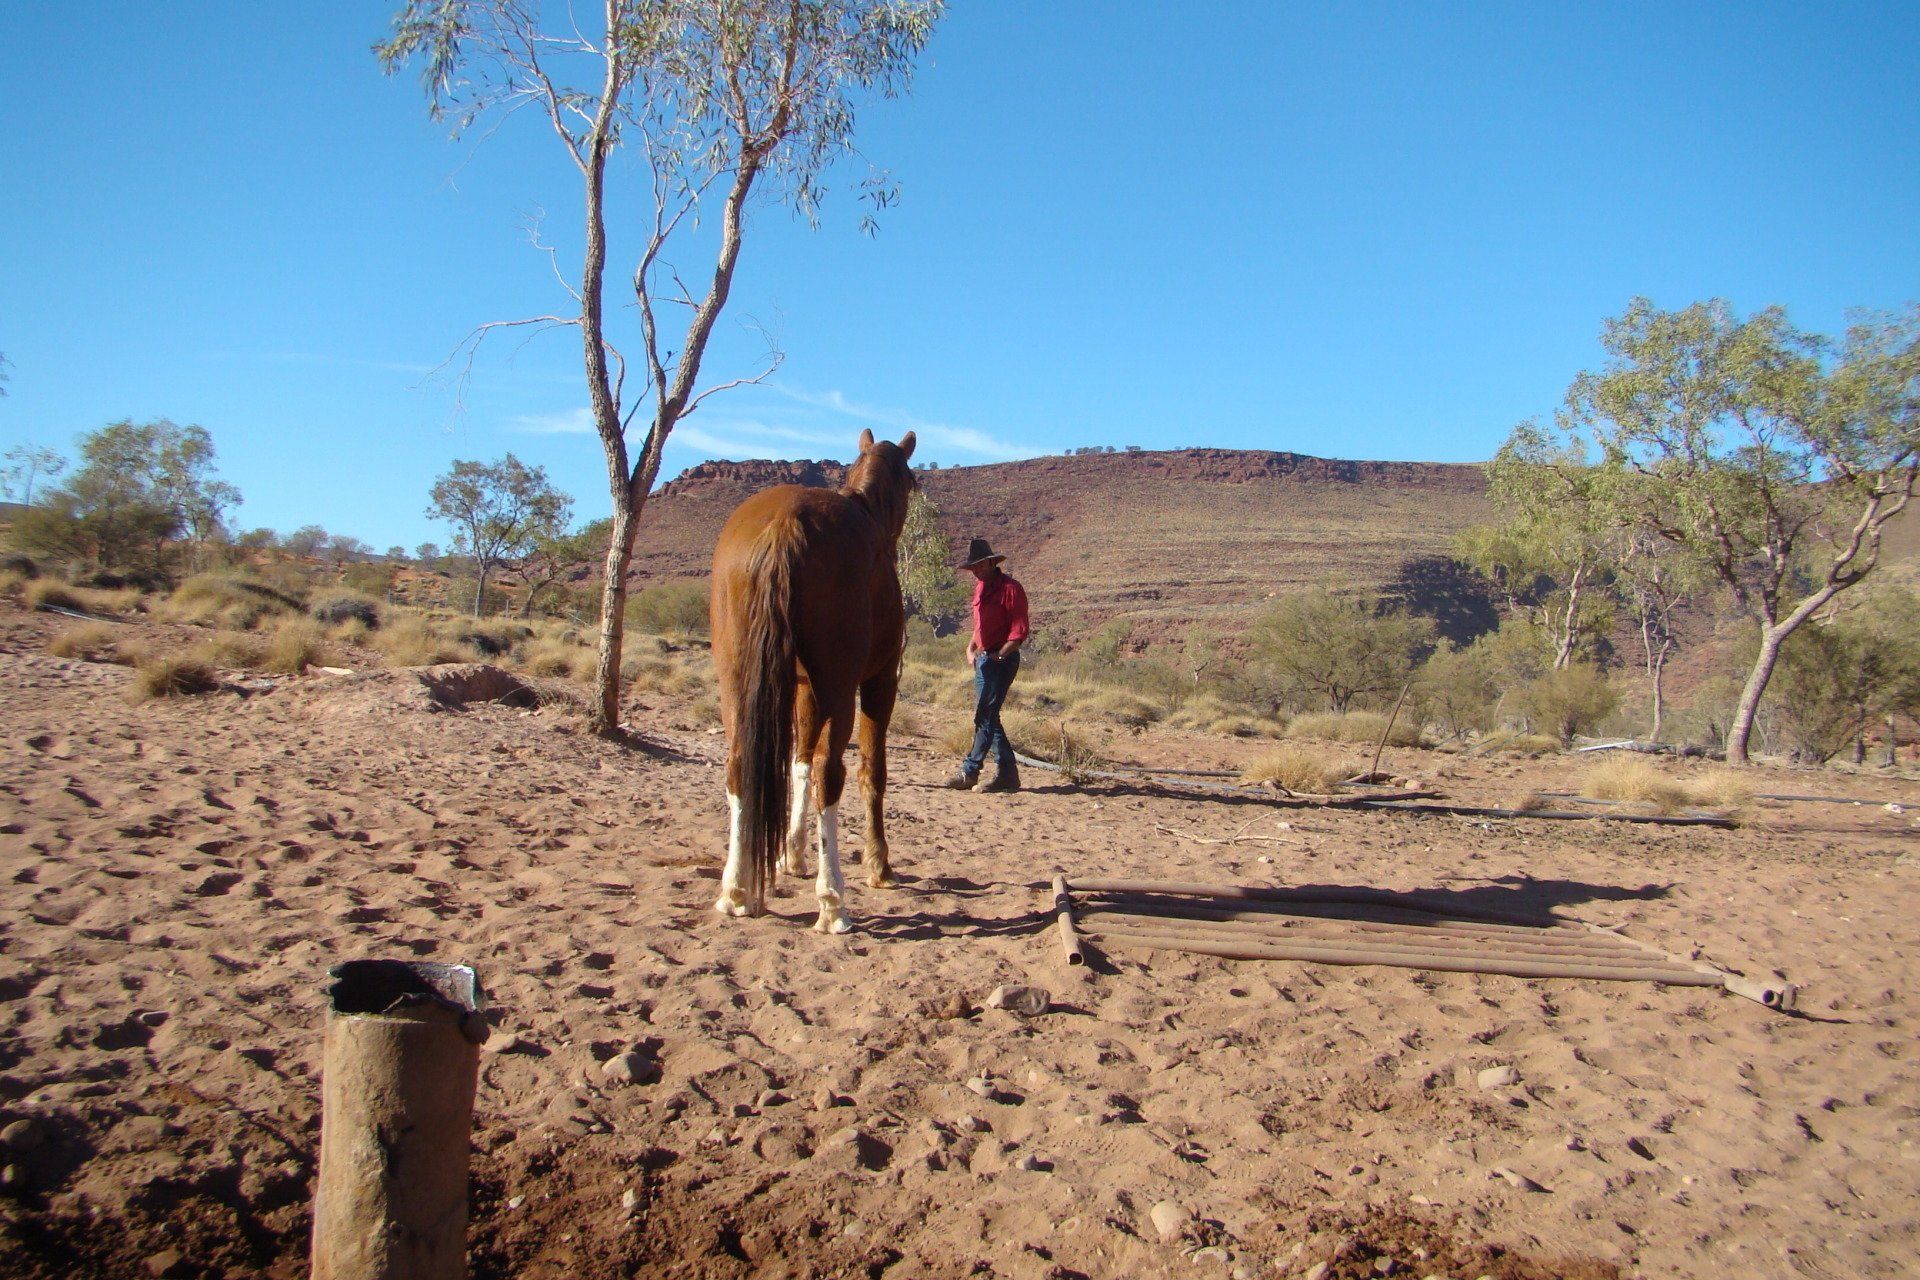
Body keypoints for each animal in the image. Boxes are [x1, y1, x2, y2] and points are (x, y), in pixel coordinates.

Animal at [708, 428, 917, 932]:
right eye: (913, 480)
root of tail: (785, 523)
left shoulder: (803, 688)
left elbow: (799, 763)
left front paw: (792, 854)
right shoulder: (880, 682)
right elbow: (870, 771)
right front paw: (879, 864)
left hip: (738, 680)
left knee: (740, 764)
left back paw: (735, 890)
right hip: (840, 688)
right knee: (831, 772)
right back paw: (832, 900)